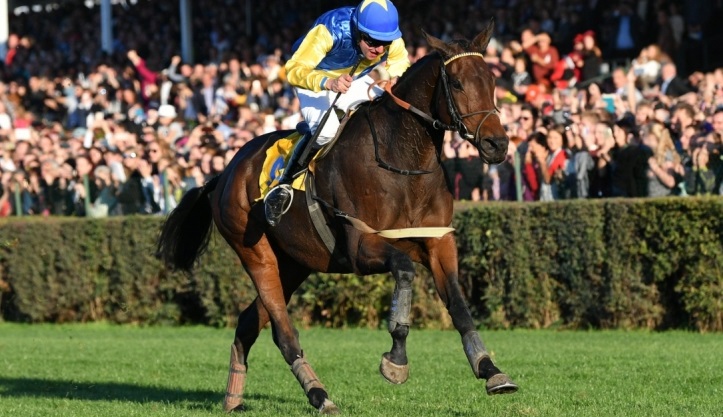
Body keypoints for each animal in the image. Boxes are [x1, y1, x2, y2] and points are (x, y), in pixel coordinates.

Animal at [158, 22, 516, 412]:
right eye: (458, 83)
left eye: (492, 80)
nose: (497, 144)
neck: (402, 162)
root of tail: (224, 173)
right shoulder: (362, 247)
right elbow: (404, 271)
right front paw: (396, 361)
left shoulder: (438, 242)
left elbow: (459, 306)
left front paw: (491, 370)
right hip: (255, 253)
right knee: (282, 331)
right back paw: (319, 394)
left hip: (294, 263)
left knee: (247, 322)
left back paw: (233, 399)